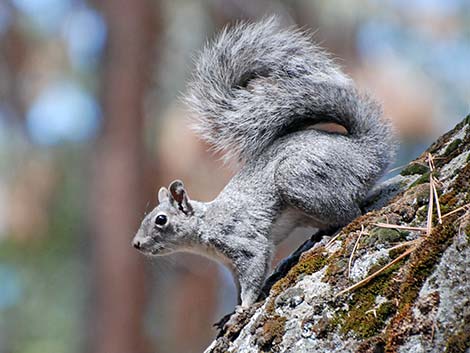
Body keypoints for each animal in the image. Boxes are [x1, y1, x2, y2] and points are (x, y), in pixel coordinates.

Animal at [130, 17, 394, 306]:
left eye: (161, 220)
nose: (136, 244)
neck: (206, 225)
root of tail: (365, 150)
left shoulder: (243, 242)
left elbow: (253, 271)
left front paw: (244, 307)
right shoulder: (229, 264)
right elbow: (239, 284)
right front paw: (232, 311)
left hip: (299, 178)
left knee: (352, 213)